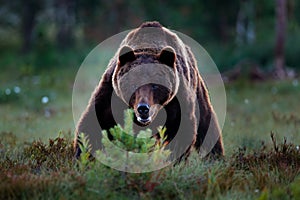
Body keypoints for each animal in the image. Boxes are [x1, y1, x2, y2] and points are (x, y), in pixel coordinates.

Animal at [74, 21, 225, 161]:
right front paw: (81, 158)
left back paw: (215, 158)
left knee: (208, 127)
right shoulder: (111, 95)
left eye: (155, 85)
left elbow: (184, 132)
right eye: (133, 82)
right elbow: (91, 125)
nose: (143, 108)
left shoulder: (178, 101)